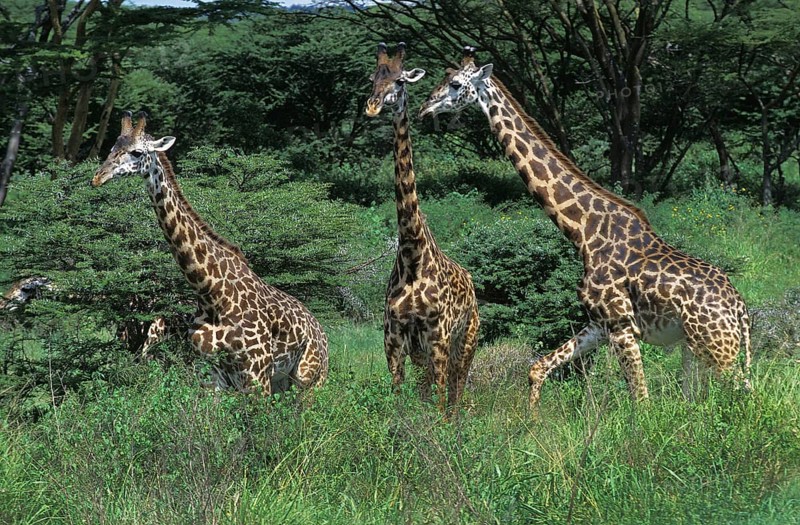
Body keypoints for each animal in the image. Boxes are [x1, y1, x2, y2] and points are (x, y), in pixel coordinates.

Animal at [92, 112, 328, 394]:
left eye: (137, 152)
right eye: (112, 148)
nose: (98, 177)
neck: (211, 293)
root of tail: (322, 333)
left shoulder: (256, 374)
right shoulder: (212, 376)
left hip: (309, 379)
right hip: (282, 382)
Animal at [366, 42, 480, 410]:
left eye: (400, 80)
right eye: (374, 78)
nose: (372, 105)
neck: (412, 253)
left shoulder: (439, 337)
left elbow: (442, 403)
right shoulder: (394, 340)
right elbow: (400, 399)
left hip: (467, 339)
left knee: (456, 392)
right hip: (422, 353)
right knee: (429, 387)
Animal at [420, 48, 752, 408]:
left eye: (455, 83)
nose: (425, 106)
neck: (584, 231)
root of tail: (741, 311)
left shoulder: (621, 325)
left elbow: (641, 402)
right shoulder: (599, 324)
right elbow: (537, 369)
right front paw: (533, 419)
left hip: (719, 350)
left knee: (745, 397)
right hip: (697, 348)